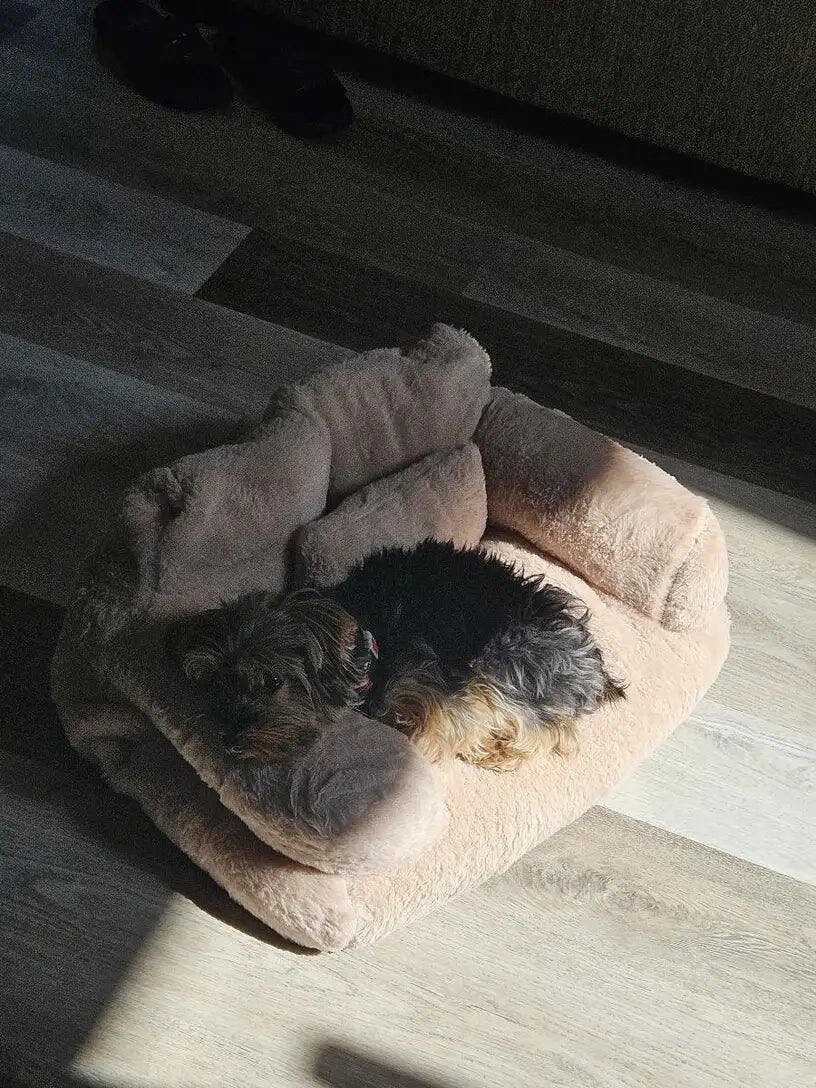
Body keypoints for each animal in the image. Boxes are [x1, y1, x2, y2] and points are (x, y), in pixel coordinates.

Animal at [169, 539, 625, 771]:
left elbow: (436, 731)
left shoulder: (440, 686)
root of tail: (594, 669)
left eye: (274, 682)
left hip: (511, 656)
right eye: (215, 683)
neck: (368, 643)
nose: (228, 741)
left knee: (554, 730)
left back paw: (500, 750)